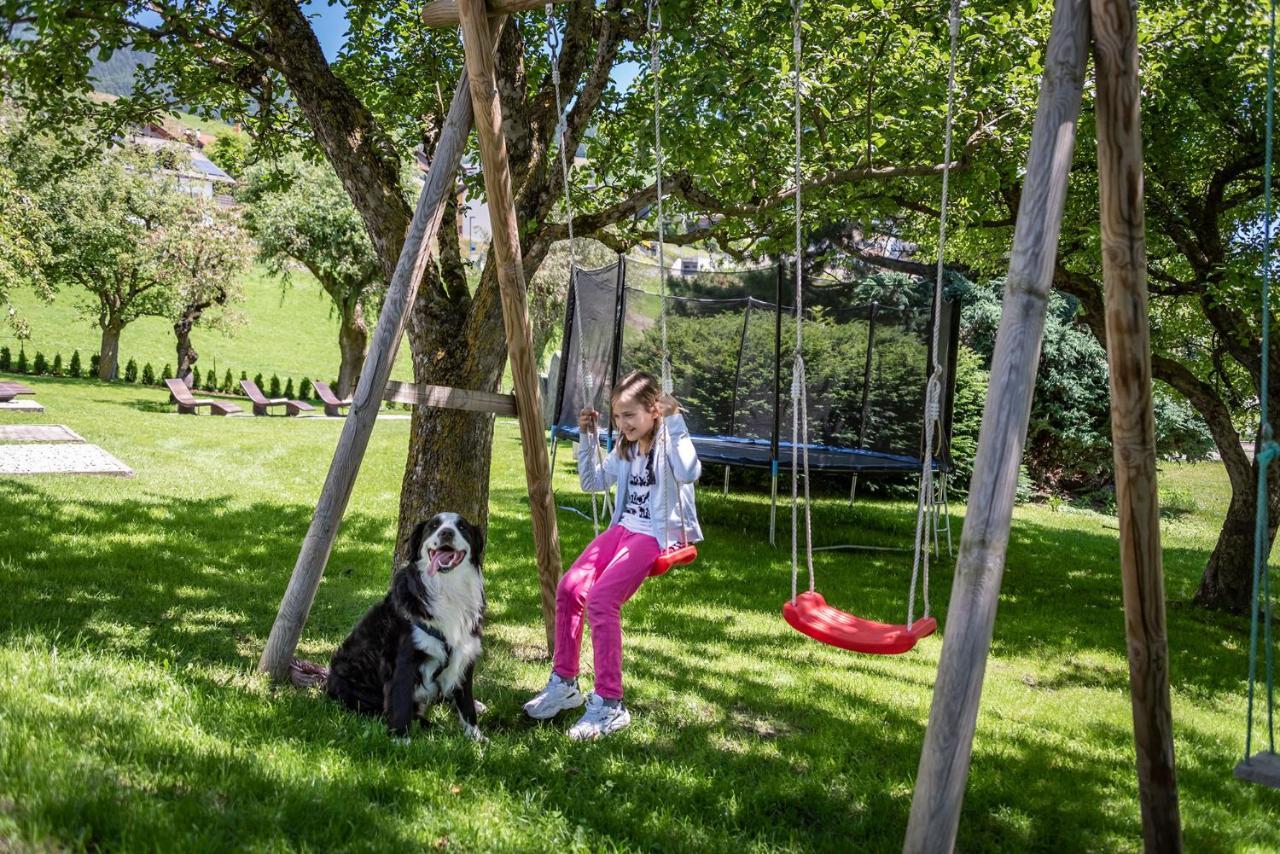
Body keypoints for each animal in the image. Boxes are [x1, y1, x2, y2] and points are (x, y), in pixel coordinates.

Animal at [327, 514, 486, 742]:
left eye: (462, 526)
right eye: (434, 526)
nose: (446, 533)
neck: (447, 588)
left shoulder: (464, 654)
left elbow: (466, 705)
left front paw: (476, 737)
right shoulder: (404, 659)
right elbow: (400, 702)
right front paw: (401, 740)